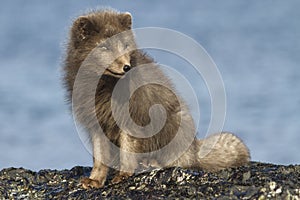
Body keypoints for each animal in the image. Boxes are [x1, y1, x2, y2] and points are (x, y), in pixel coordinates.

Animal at [63, 9, 251, 189]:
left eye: (125, 44)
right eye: (105, 47)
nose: (126, 67)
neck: (104, 89)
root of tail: (194, 150)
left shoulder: (132, 117)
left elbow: (128, 149)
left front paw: (123, 175)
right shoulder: (95, 124)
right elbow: (99, 157)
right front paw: (94, 180)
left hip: (177, 122)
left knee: (181, 162)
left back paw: (153, 163)